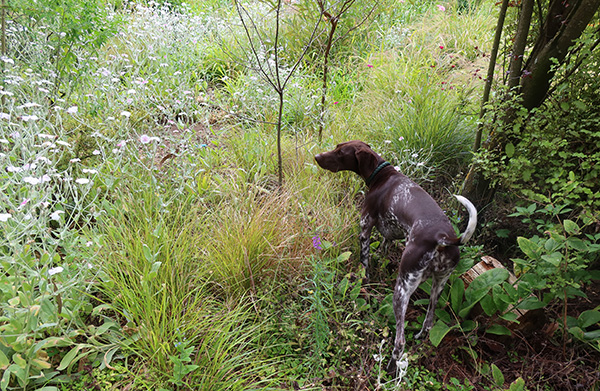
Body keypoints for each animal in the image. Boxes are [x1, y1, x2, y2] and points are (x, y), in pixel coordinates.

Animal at [314, 142, 478, 374]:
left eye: (340, 151)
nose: (317, 156)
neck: (382, 174)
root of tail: (443, 238)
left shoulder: (364, 229)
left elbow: (364, 264)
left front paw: (364, 282)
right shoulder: (391, 234)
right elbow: (383, 248)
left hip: (402, 289)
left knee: (400, 342)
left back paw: (390, 370)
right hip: (438, 285)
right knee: (428, 322)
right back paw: (420, 339)